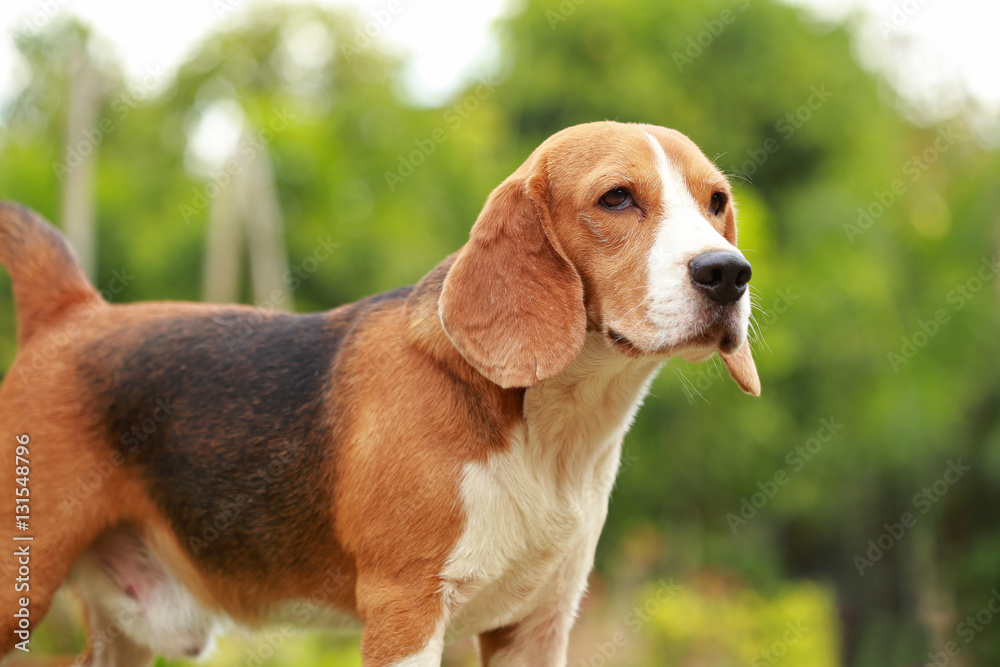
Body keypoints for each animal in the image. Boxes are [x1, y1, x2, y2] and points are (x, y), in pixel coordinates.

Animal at [0, 121, 756, 667]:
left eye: (716, 202)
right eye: (617, 198)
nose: (728, 272)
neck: (552, 430)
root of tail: (71, 311)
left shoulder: (536, 625)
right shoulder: (406, 612)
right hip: (20, 587)